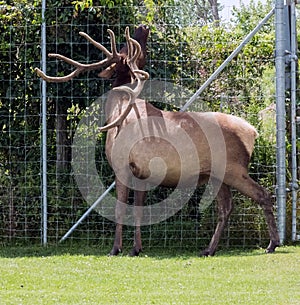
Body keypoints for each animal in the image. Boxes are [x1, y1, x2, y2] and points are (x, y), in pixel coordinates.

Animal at [35, 25, 282, 255]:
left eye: (126, 48)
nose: (142, 27)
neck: (115, 110)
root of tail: (252, 132)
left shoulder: (121, 165)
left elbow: (119, 208)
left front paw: (116, 248)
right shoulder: (142, 173)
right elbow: (138, 209)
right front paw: (136, 248)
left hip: (234, 169)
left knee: (263, 195)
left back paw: (272, 244)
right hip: (218, 175)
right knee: (226, 207)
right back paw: (209, 249)